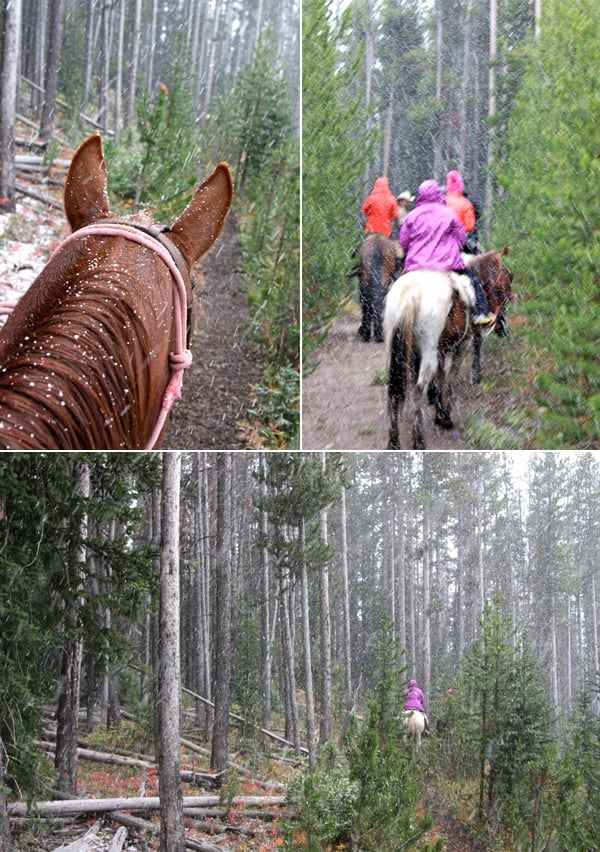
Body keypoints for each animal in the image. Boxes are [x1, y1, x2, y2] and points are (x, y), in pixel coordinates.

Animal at [382, 250, 512, 450]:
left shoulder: (437, 349)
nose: (502, 327)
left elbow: (440, 376)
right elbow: (450, 376)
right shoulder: (460, 343)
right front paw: (445, 415)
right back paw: (418, 440)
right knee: (419, 388)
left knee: (395, 390)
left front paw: (439, 409)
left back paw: (394, 440)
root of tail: (411, 295)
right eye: (500, 289)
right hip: (428, 348)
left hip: (397, 348)